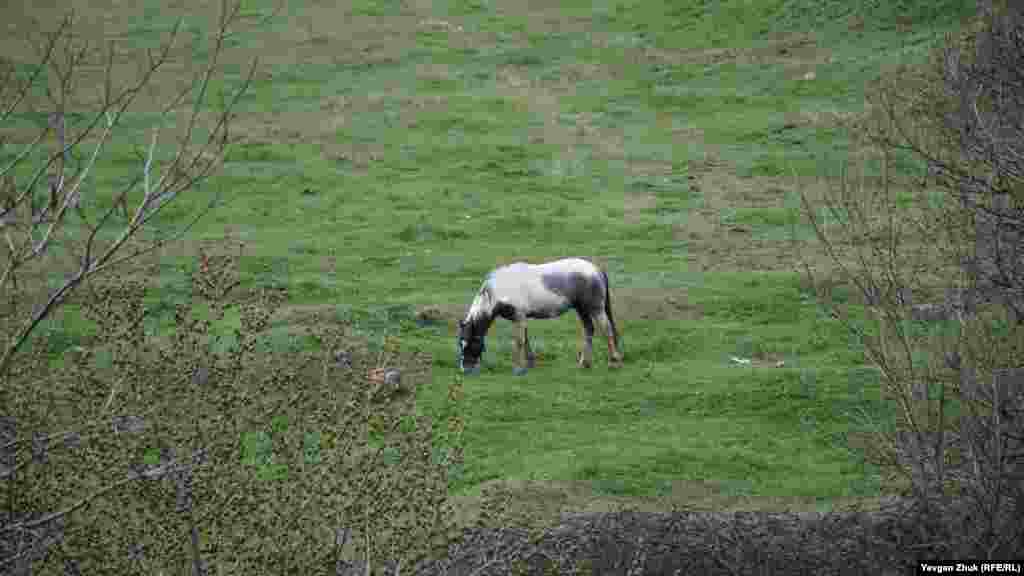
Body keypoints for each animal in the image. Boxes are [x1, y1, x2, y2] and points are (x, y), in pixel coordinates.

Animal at [458, 258, 622, 375]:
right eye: (461, 343)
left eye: (472, 343)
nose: (464, 369)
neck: (496, 291)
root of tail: (596, 269)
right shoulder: (521, 319)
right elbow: (526, 340)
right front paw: (530, 363)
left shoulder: (519, 316)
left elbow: (519, 341)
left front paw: (518, 368)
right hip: (581, 309)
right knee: (589, 329)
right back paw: (584, 364)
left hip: (595, 309)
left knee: (607, 330)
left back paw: (613, 362)